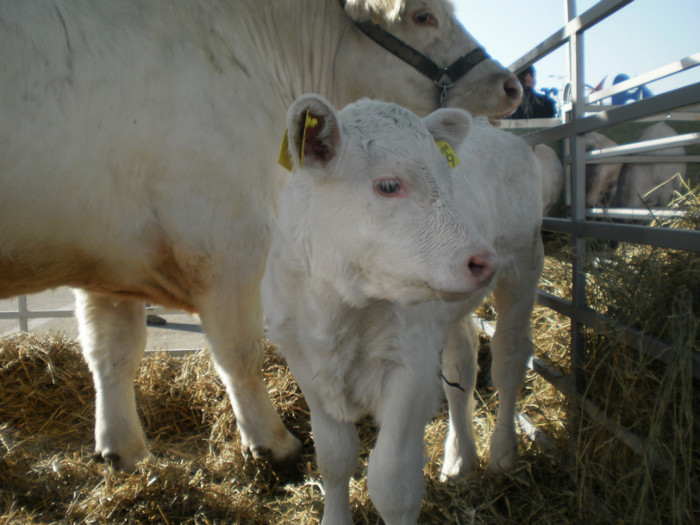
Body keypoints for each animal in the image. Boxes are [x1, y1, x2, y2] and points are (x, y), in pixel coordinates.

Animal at [0, 0, 520, 470]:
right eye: (423, 15)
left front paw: (124, 451)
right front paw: (274, 443)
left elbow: (112, 352)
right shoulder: (229, 246)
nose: (511, 84)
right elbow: (240, 353)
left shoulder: (108, 268)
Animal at [266, 95, 544, 524]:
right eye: (388, 185)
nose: (483, 260)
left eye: (448, 183)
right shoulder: (306, 366)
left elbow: (392, 483)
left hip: (523, 269)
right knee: (461, 363)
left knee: (509, 360)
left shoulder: (409, 369)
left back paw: (502, 453)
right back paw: (460, 460)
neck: (338, 310)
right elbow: (334, 458)